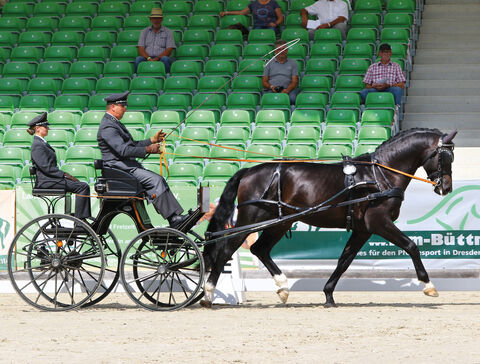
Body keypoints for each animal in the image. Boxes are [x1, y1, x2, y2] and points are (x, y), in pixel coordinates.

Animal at [202, 128, 458, 308]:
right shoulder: (379, 223)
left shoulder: (363, 230)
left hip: (280, 222)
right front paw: (428, 285)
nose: (446, 188)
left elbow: (344, 261)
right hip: (250, 219)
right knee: (226, 250)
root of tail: (249, 170)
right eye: (446, 156)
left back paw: (283, 287)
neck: (380, 174)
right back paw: (208, 292)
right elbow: (411, 245)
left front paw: (328, 294)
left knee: (260, 249)